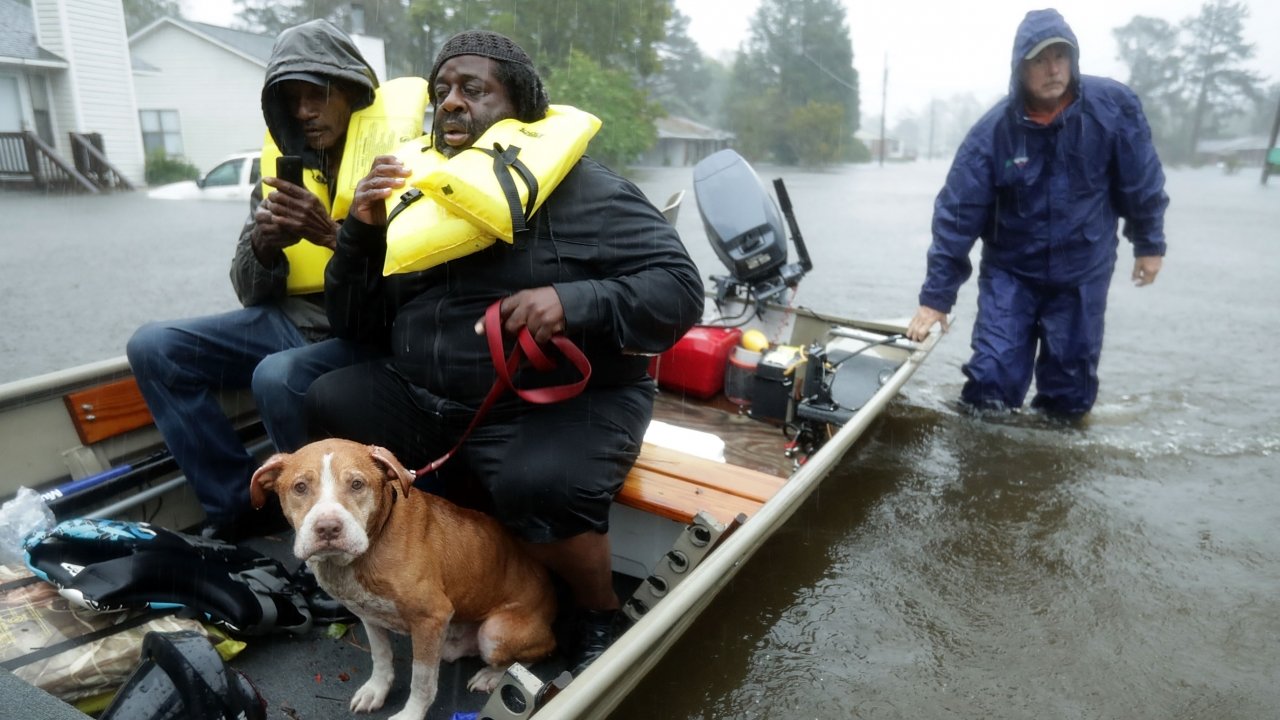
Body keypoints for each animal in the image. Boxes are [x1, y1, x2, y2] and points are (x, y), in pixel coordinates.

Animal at [249, 438, 555, 717]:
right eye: (300, 487)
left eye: (357, 484)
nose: (327, 528)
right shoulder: (369, 615)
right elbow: (382, 657)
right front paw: (376, 691)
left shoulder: (430, 617)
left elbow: (421, 682)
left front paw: (411, 714)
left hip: (494, 631)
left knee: (536, 654)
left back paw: (493, 676)